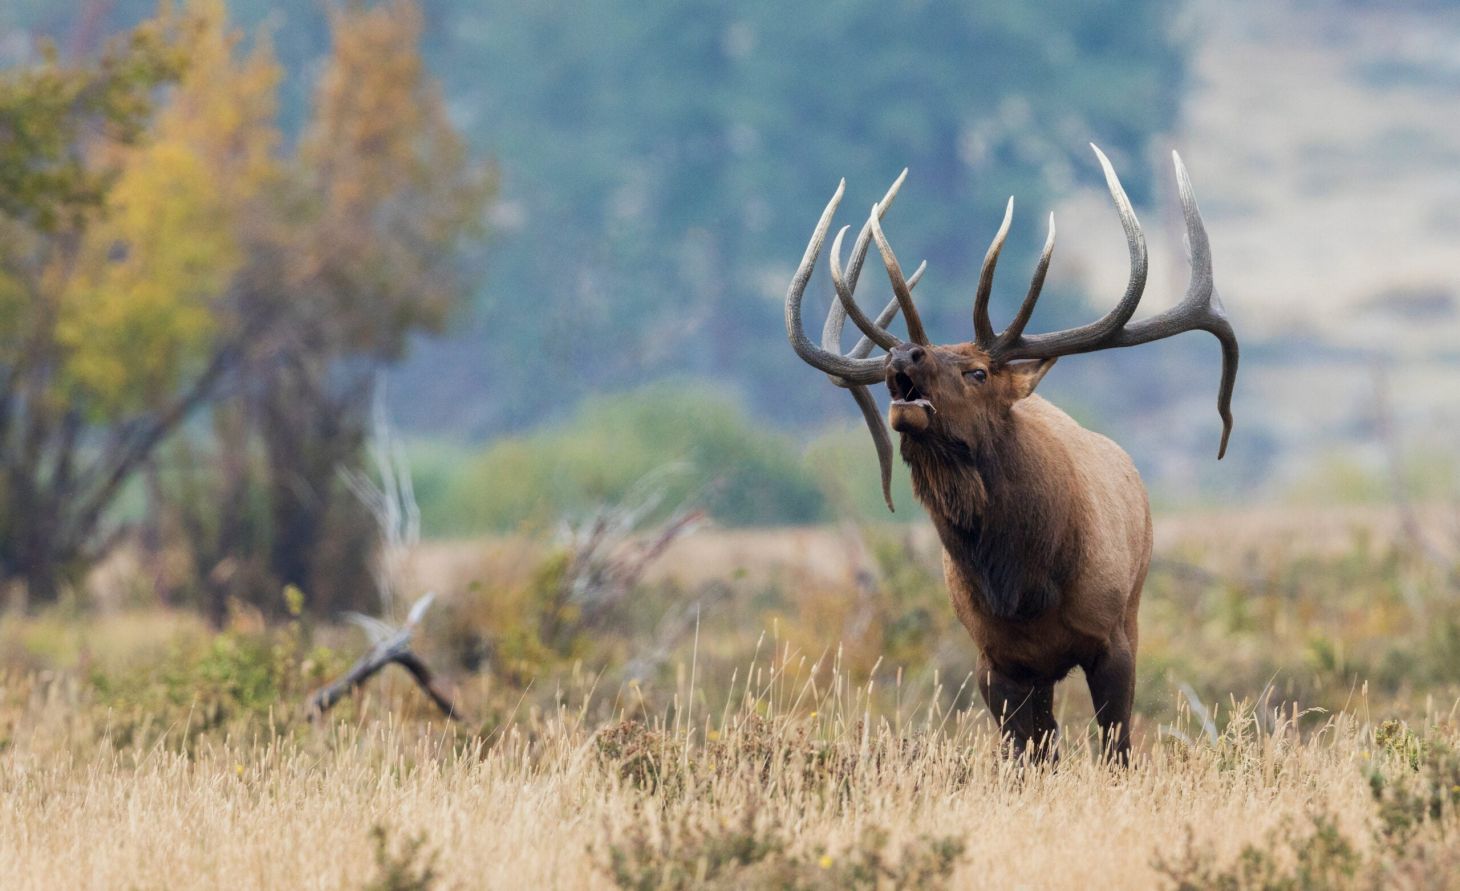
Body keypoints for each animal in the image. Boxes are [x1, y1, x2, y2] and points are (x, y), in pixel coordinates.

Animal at [784, 146, 1238, 762]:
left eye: (978, 371)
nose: (903, 354)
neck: (1023, 586)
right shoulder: (997, 661)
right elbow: (1025, 757)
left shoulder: (1112, 638)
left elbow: (1116, 748)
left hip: (1134, 604)